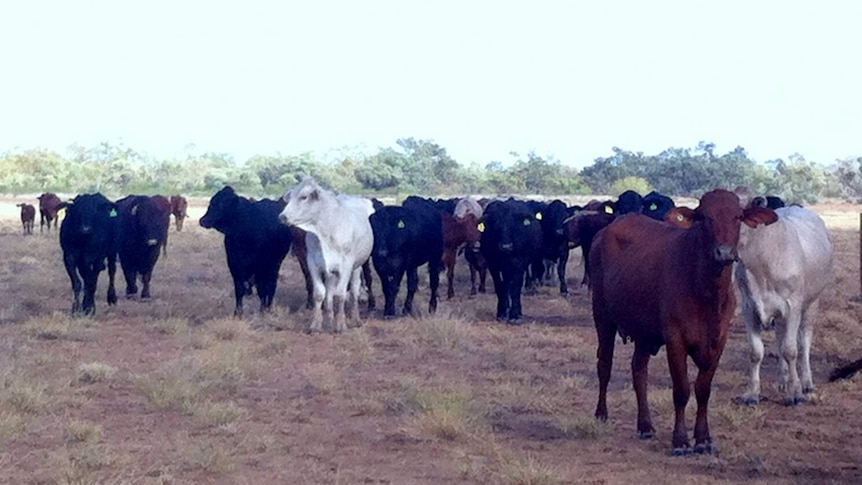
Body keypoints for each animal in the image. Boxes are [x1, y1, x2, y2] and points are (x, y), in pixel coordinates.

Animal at [201, 183, 296, 316]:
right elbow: (239, 289)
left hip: (274, 265)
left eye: (220, 204)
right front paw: (237, 313)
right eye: (212, 201)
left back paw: (268, 308)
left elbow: (263, 289)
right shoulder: (234, 264)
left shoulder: (261, 265)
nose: (203, 220)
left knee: (271, 286)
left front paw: (262, 311)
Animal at [280, 178, 374, 332]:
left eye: (304, 197)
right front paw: (316, 325)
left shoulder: (346, 265)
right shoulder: (313, 263)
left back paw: (356, 319)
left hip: (357, 267)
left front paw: (340, 325)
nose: (282, 216)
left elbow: (341, 294)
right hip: (330, 270)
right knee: (329, 292)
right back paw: (329, 320)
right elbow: (319, 293)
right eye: (291, 196)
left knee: (354, 290)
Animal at [592, 188, 780, 454]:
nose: (724, 252)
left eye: (737, 217)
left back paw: (645, 425)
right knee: (604, 365)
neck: (707, 293)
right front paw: (680, 440)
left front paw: (703, 438)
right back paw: (601, 414)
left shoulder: (717, 341)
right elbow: (681, 390)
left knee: (639, 370)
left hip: (643, 331)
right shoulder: (675, 339)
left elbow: (703, 390)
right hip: (602, 317)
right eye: (705, 218)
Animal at [736, 204, 836, 404]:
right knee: (780, 338)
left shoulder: (793, 306)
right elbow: (756, 351)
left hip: (812, 303)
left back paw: (806, 382)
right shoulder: (749, 307)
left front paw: (796, 392)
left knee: (804, 342)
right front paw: (752, 393)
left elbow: (791, 350)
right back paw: (782, 380)